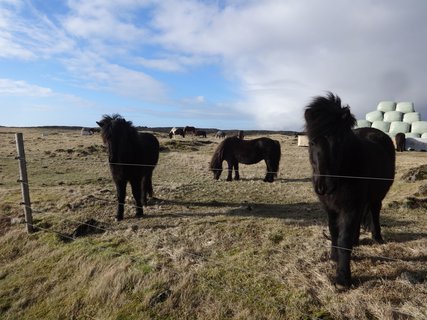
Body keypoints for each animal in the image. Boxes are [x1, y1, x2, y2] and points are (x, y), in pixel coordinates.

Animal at [306, 93, 396, 290]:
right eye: (312, 141)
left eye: (339, 142)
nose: (324, 186)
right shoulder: (330, 208)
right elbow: (334, 231)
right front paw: (334, 256)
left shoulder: (350, 207)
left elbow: (344, 239)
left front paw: (343, 278)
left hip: (376, 197)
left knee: (375, 211)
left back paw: (377, 237)